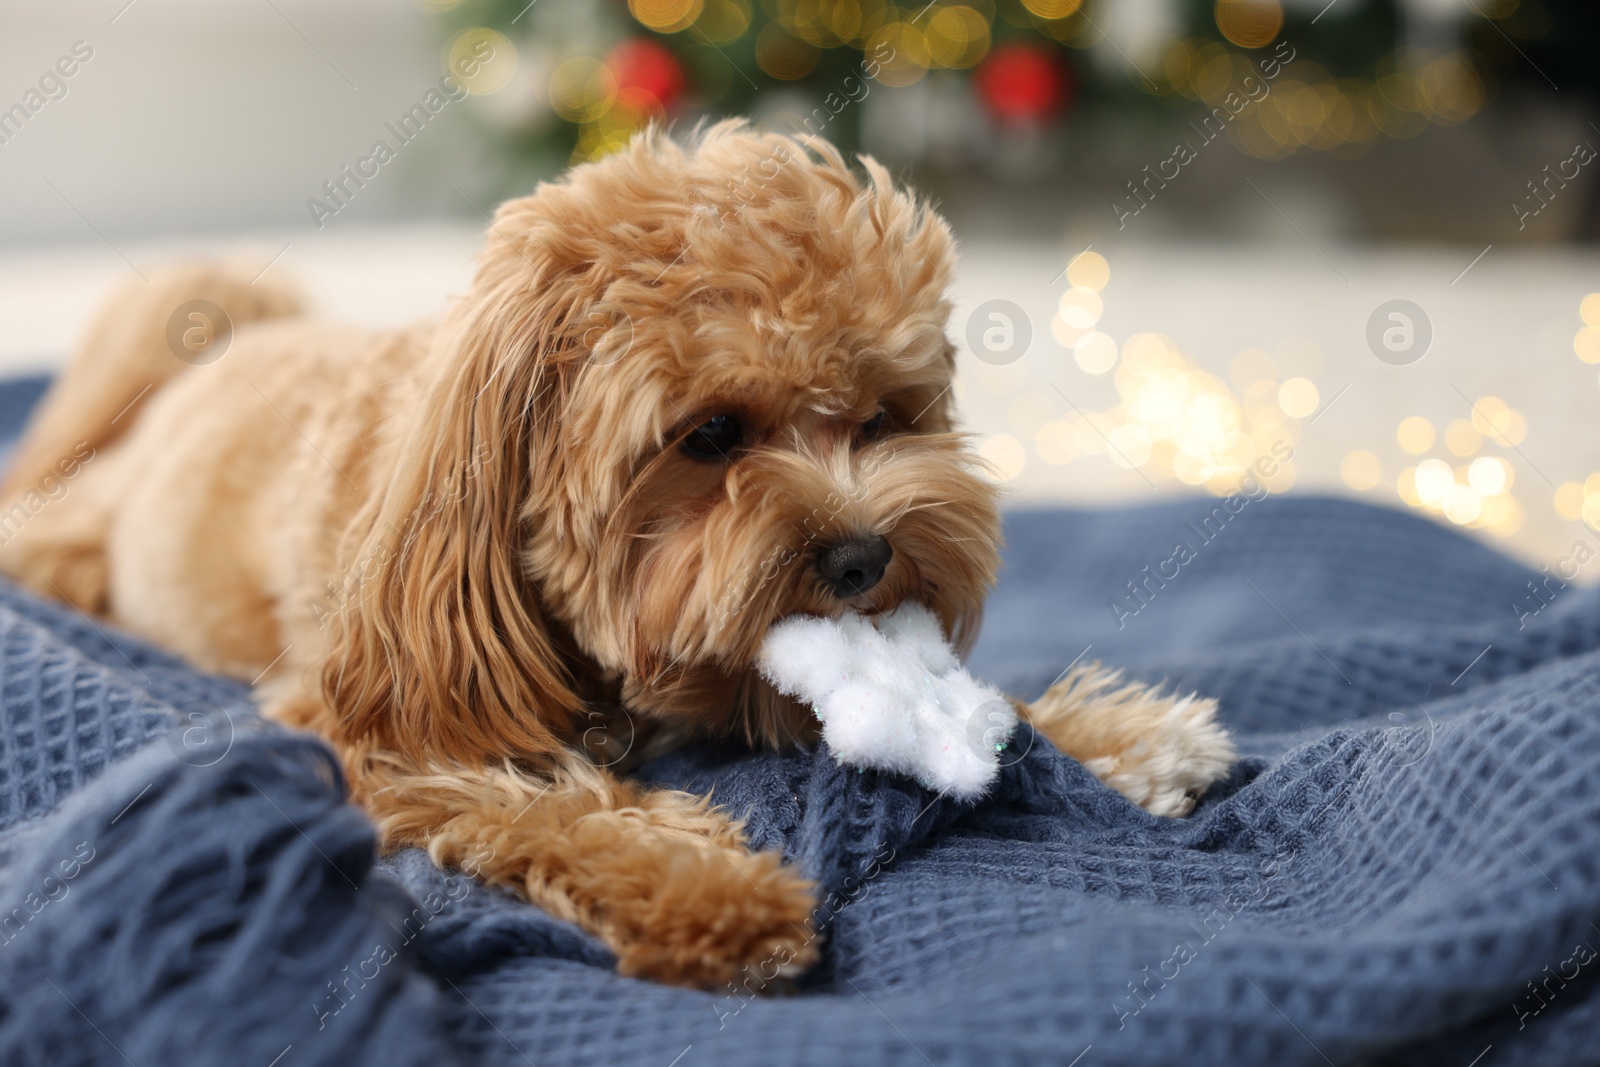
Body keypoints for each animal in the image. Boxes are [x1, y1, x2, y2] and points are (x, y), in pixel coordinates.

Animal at [0, 125, 1235, 991]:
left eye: (885, 416)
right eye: (711, 435)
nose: (862, 553)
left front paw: (1112, 735)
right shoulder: (369, 721)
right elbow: (548, 805)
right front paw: (706, 887)